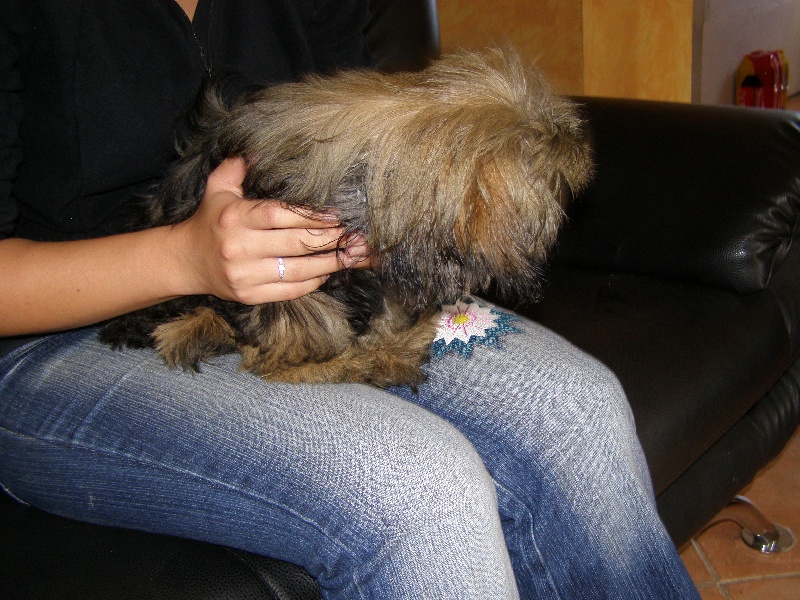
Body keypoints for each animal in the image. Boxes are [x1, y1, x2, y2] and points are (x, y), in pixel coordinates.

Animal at [99, 48, 593, 386]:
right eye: (549, 151)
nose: (580, 144)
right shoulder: (292, 286)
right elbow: (293, 346)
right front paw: (366, 360)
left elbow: (386, 308)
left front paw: (392, 347)